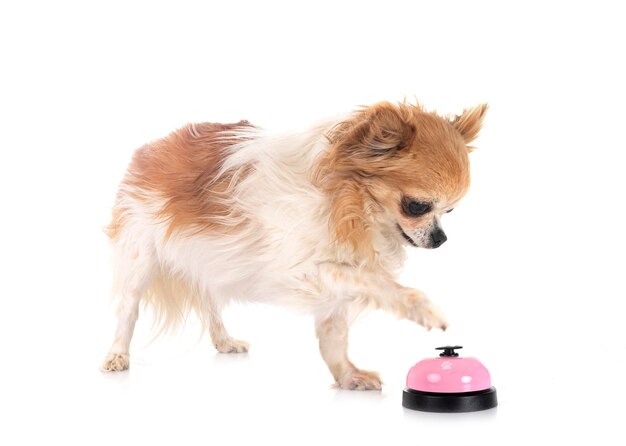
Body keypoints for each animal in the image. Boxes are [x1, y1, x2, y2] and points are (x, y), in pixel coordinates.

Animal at [102, 102, 486, 390]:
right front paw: (424, 309)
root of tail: (153, 148)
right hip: (140, 257)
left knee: (209, 303)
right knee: (128, 311)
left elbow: (334, 337)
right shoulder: (305, 272)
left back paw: (224, 341)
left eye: (450, 211)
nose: (441, 239)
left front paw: (347, 376)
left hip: (208, 261)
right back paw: (117, 354)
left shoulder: (334, 287)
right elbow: (378, 283)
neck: (349, 204)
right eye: (417, 206)